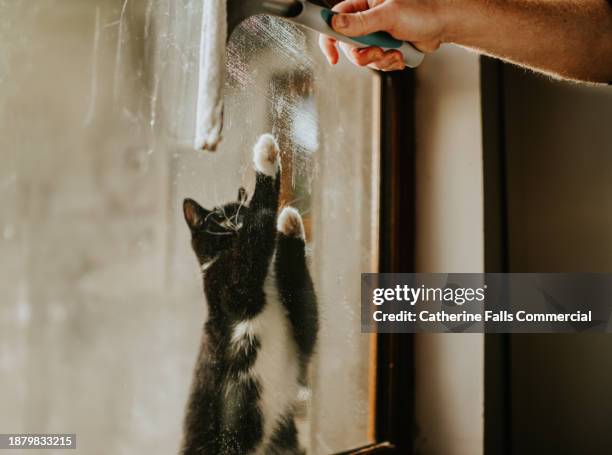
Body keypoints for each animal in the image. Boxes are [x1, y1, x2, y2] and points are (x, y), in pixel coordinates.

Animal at [179, 134, 318, 454]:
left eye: (239, 211)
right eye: (219, 218)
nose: (238, 220)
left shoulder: (299, 335)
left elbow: (308, 316)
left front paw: (290, 224)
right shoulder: (230, 288)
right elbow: (255, 238)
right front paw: (266, 157)